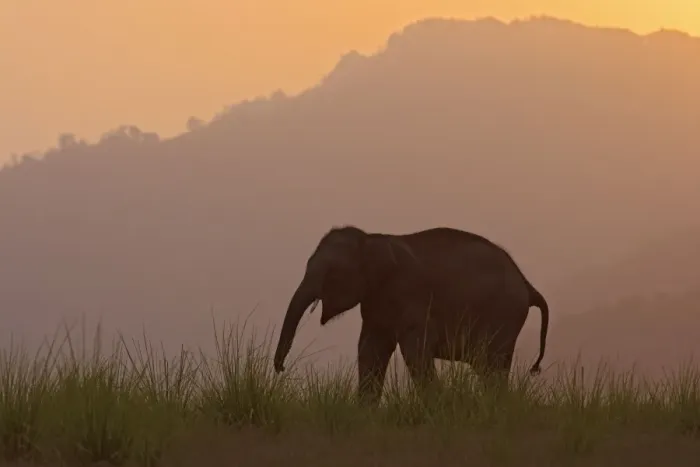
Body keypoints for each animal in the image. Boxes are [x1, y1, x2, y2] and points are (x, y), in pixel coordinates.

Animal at [273, 225, 549, 405]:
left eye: (331, 272)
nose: (280, 368)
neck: (371, 240)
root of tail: (527, 285)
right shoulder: (375, 304)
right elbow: (369, 350)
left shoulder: (411, 295)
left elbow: (415, 351)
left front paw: (435, 406)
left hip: (504, 316)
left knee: (490, 366)